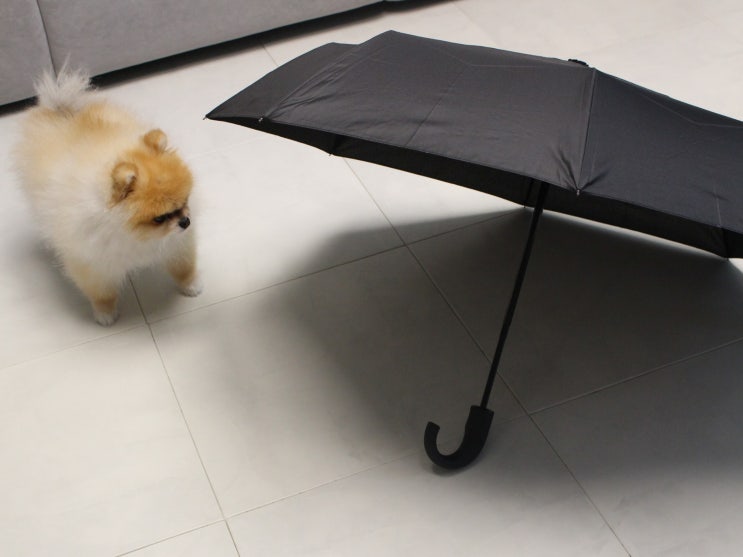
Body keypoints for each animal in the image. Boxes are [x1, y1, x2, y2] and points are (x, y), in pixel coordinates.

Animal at [13, 68, 202, 325]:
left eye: (185, 201)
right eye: (160, 218)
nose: (186, 221)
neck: (133, 234)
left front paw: (191, 286)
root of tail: (60, 108)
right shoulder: (93, 264)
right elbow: (102, 292)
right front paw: (105, 314)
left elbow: (183, 267)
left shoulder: (176, 244)